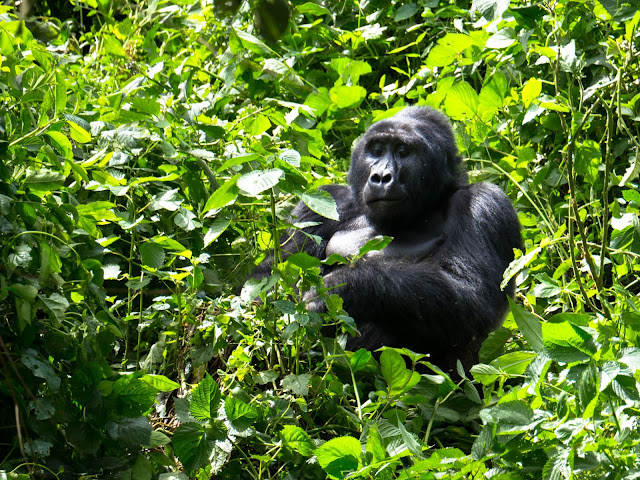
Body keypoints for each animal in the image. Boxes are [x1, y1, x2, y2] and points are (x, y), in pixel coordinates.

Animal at [254, 107, 520, 374]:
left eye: (403, 152)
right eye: (377, 150)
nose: (381, 176)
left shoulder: (486, 203)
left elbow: (472, 296)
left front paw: (341, 287)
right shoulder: (323, 202)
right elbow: (269, 279)